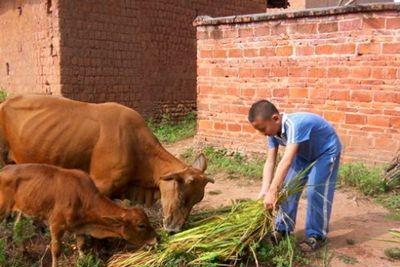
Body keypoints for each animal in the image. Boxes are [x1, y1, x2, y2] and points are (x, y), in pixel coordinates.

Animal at [0, 163, 156, 267]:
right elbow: (56, 250)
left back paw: (24, 252)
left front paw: (82, 260)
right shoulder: (56, 225)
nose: (156, 239)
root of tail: (4, 169)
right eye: (141, 225)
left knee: (17, 227)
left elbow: (81, 246)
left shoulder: (79, 227)